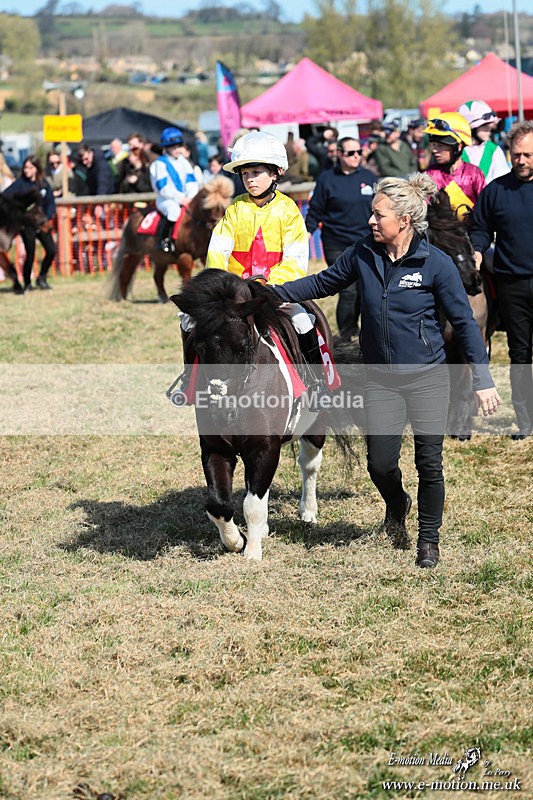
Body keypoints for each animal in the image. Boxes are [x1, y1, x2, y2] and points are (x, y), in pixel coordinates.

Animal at [169, 268, 353, 561]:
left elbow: (252, 504)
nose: (220, 404)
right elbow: (218, 504)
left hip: (317, 424)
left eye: (244, 345)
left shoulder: (265, 446)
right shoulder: (216, 448)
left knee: (309, 464)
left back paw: (308, 511)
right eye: (196, 345)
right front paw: (236, 541)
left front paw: (252, 552)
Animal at [427, 190, 495, 440]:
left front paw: (461, 429)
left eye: (466, 238)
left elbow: (464, 384)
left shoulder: (469, 341)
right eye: (442, 245)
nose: (474, 282)